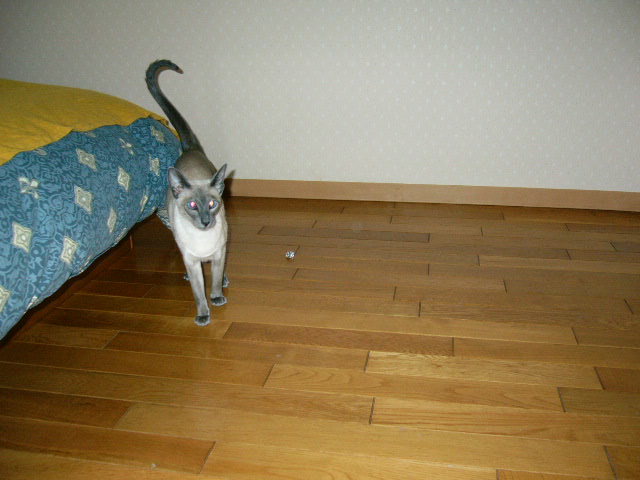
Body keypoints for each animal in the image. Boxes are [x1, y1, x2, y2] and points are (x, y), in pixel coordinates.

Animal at [146, 59, 228, 326]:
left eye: (212, 204)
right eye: (192, 206)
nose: (205, 221)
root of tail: (190, 149)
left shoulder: (219, 253)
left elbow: (215, 280)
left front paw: (217, 297)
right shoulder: (192, 261)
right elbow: (198, 292)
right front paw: (203, 315)